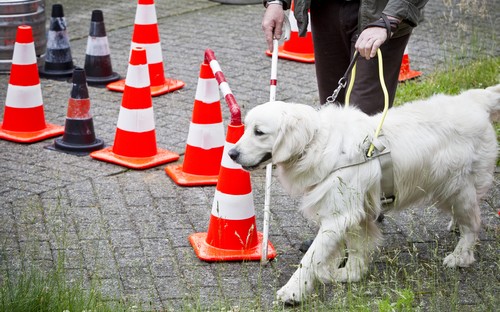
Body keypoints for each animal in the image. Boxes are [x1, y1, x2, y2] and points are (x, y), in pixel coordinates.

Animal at [229, 84, 498, 302]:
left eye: (259, 132)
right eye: (246, 128)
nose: (231, 153)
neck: (317, 144)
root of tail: (476, 99)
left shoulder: (338, 216)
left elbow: (311, 259)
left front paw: (293, 291)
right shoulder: (355, 214)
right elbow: (356, 250)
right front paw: (348, 273)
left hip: (458, 188)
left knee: (474, 222)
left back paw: (460, 256)